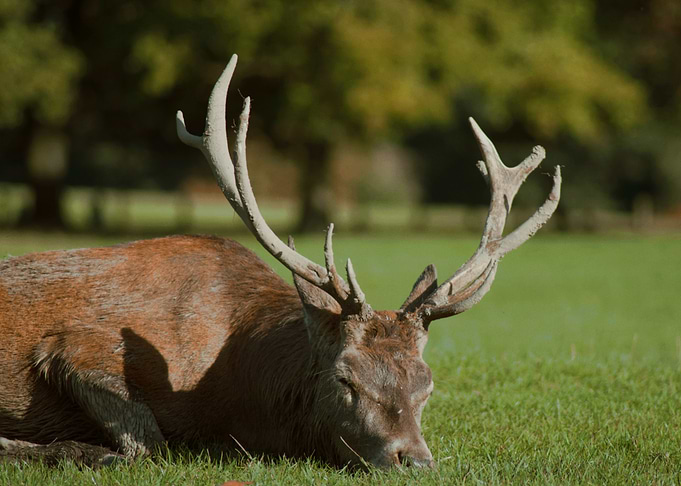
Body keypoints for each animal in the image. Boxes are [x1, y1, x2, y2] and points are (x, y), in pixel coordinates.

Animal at [0, 54, 561, 469]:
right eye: (344, 378)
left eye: (427, 384)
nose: (415, 460)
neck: (243, 395)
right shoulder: (78, 346)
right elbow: (149, 444)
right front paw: (67, 449)